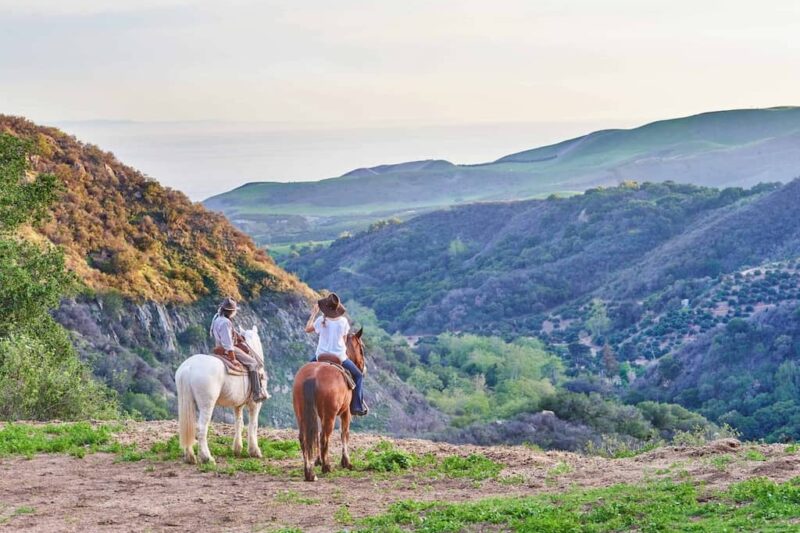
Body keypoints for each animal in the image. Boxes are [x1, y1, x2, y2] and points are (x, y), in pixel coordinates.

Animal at [175, 324, 266, 462]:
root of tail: (188, 367)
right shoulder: (255, 404)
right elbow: (253, 425)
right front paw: (254, 451)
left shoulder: (238, 405)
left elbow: (239, 423)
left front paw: (237, 449)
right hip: (207, 405)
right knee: (201, 427)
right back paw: (207, 457)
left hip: (186, 403)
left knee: (187, 426)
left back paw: (190, 457)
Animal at [294, 328, 366, 482]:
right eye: (361, 349)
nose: (363, 369)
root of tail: (312, 376)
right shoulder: (346, 412)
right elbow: (345, 434)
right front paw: (346, 462)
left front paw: (318, 460)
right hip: (330, 415)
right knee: (324, 437)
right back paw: (326, 467)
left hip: (301, 413)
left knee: (305, 438)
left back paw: (309, 472)